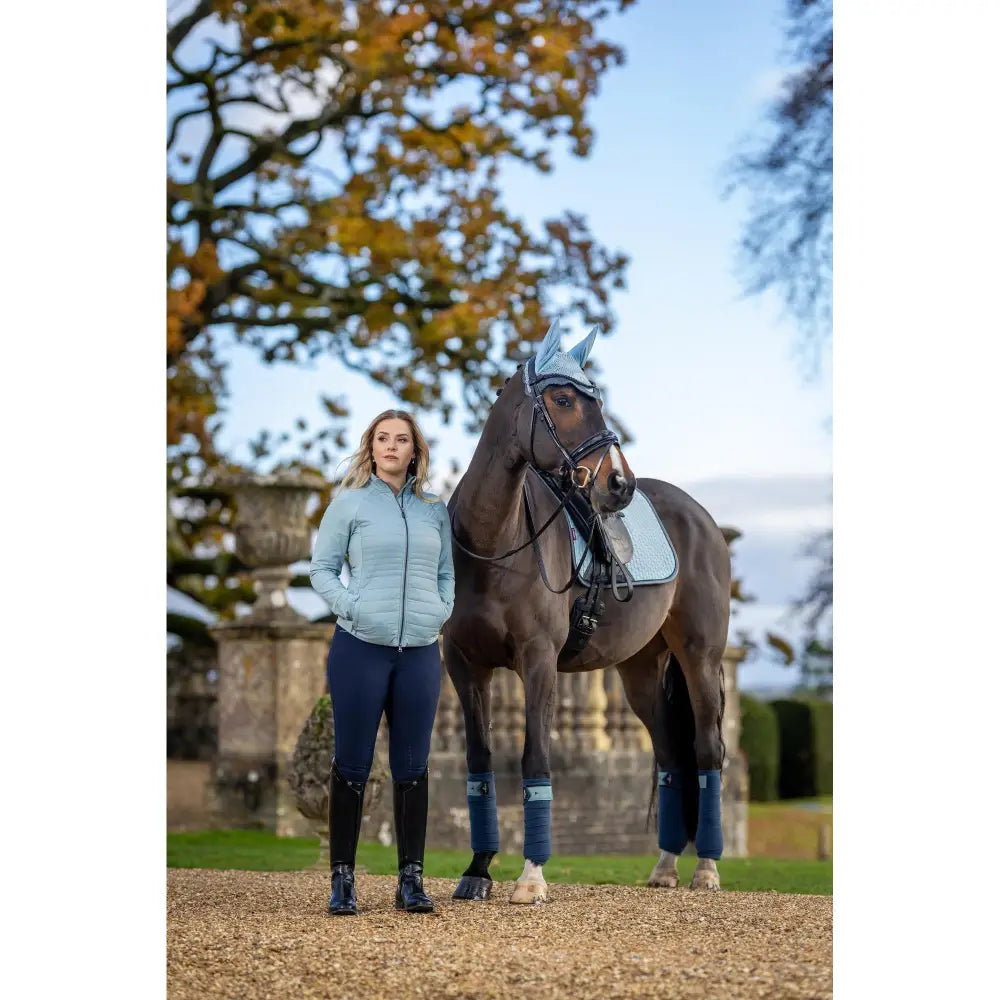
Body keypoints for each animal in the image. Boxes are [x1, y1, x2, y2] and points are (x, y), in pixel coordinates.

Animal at [442, 322, 732, 908]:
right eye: (563, 399)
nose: (619, 484)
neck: (493, 543)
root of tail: (702, 518)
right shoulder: (465, 666)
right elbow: (479, 763)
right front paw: (478, 872)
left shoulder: (537, 662)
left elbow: (534, 758)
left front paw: (531, 878)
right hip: (640, 672)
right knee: (671, 757)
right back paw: (664, 868)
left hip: (701, 660)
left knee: (706, 752)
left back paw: (706, 869)